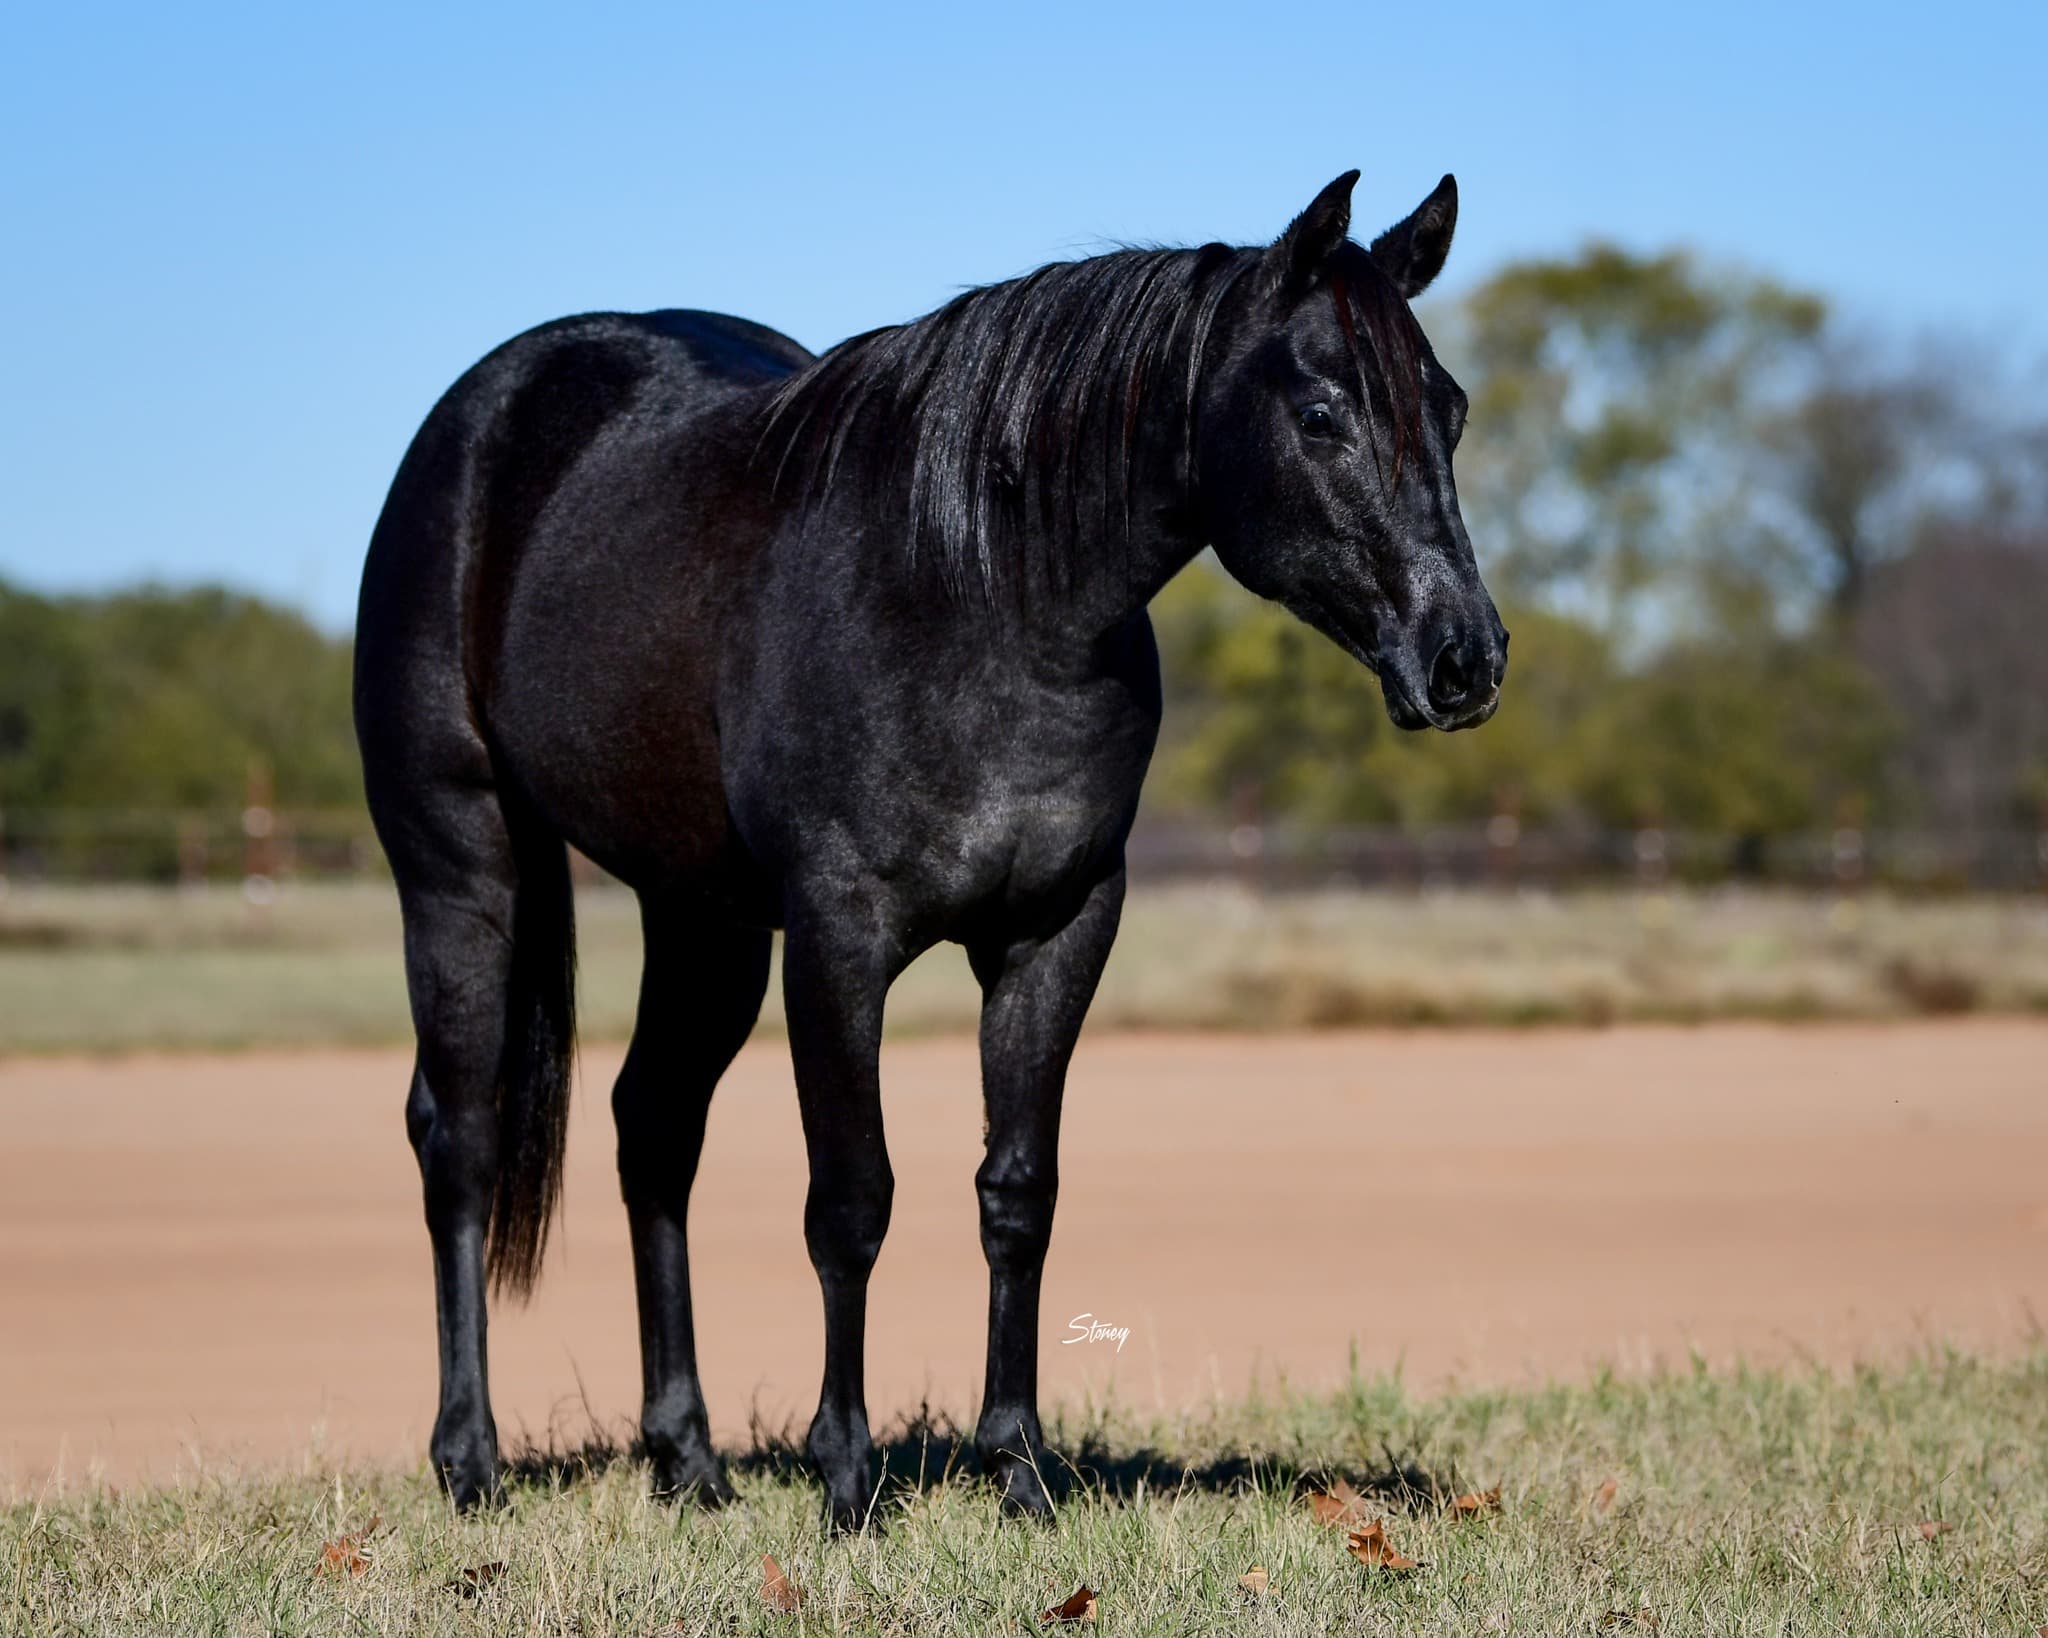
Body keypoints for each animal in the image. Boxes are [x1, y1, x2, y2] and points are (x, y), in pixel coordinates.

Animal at [353, 169, 1506, 1529]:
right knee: (463, 1140)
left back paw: (687, 1462)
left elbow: (1017, 1193)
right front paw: (846, 1478)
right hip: (463, 868)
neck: (978, 597)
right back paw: (469, 1462)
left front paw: (1019, 1471)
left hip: (701, 916)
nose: (1464, 659)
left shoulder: (1055, 931)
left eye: (1450, 409)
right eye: (1321, 412)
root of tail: (478, 416)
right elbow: (851, 1202)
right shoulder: (840, 941)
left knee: (654, 1128)